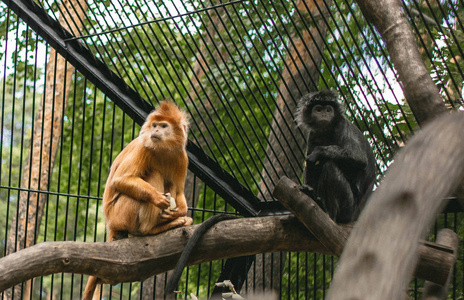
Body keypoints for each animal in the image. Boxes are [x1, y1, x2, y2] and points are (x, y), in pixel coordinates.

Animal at [296, 89, 376, 223]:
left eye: (328, 110)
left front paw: (318, 152)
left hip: (348, 208)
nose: (324, 115)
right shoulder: (313, 135)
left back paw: (329, 213)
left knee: (329, 165)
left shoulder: (342, 125)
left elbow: (359, 158)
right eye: (318, 109)